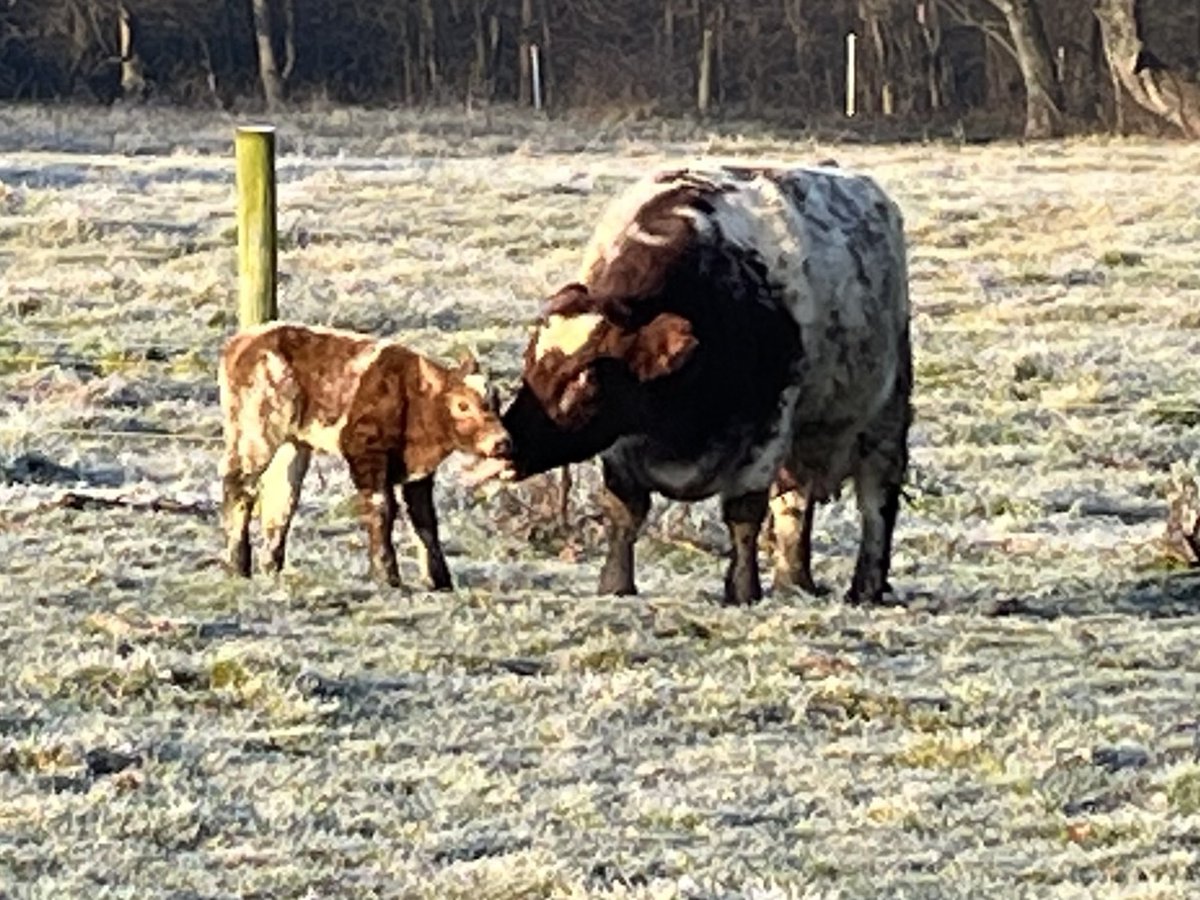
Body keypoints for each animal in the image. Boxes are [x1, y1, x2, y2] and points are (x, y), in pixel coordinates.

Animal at [218, 322, 511, 590]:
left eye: (496, 401)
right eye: (462, 405)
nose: (502, 442)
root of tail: (241, 342)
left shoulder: (419, 474)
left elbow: (425, 520)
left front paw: (440, 581)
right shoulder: (366, 451)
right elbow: (382, 508)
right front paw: (387, 577)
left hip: (293, 444)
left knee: (282, 500)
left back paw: (271, 569)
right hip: (255, 431)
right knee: (239, 487)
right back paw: (238, 567)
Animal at [473, 163, 911, 606]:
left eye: (588, 379)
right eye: (530, 363)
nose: (506, 448)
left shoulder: (767, 432)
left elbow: (743, 516)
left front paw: (742, 591)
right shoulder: (621, 447)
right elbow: (624, 512)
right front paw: (616, 585)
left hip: (886, 417)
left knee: (875, 501)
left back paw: (865, 587)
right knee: (794, 504)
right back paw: (793, 581)